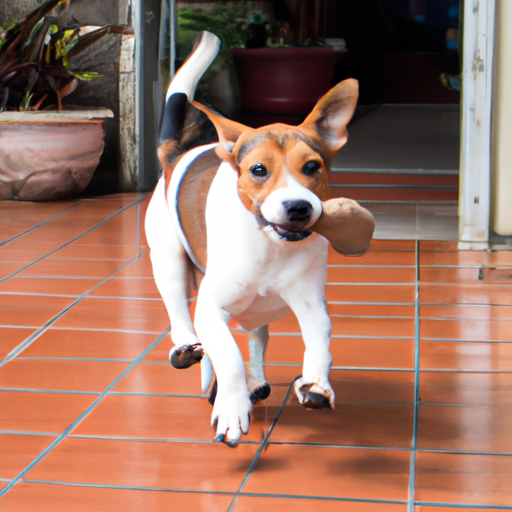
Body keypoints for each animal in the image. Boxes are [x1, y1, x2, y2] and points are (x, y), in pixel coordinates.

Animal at [145, 33, 376, 448]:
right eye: (257, 169)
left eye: (312, 167)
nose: (299, 207)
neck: (270, 245)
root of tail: (178, 154)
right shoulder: (212, 307)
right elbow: (227, 354)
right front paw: (232, 408)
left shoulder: (310, 303)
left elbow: (320, 343)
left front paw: (315, 383)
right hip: (169, 262)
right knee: (182, 316)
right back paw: (188, 349)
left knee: (255, 336)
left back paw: (253, 380)